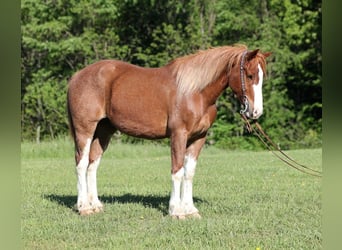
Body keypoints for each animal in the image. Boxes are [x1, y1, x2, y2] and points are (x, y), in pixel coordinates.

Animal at [66, 45, 270, 219]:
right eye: (250, 75)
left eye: (262, 77)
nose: (256, 112)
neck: (195, 92)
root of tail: (77, 76)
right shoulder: (178, 135)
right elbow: (177, 171)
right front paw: (176, 211)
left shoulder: (198, 138)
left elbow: (189, 173)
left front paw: (191, 210)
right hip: (85, 129)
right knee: (81, 163)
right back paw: (84, 207)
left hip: (104, 131)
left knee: (93, 164)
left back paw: (95, 205)